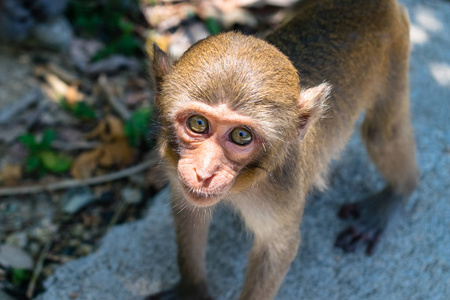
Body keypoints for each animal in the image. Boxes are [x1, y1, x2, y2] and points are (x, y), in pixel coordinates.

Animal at [148, 0, 418, 300]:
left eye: (241, 135)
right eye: (198, 123)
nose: (203, 172)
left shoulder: (282, 190)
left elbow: (278, 247)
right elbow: (190, 213)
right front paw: (191, 289)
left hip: (396, 46)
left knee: (382, 133)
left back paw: (396, 195)